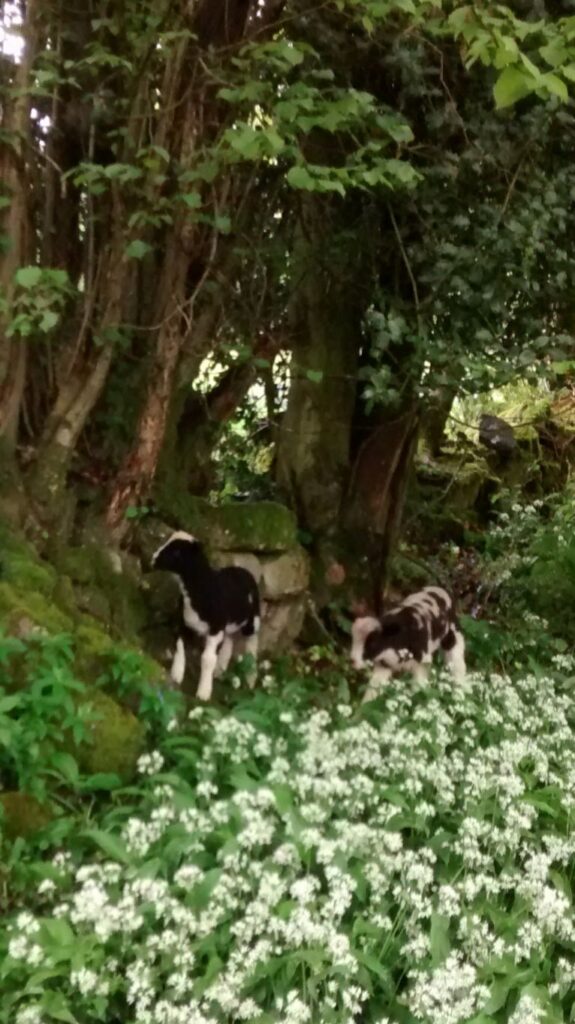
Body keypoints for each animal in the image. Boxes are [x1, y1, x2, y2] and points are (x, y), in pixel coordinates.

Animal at [152, 532, 259, 700]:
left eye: (177, 552)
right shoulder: (184, 621)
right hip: (229, 623)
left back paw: (250, 678)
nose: (153, 558)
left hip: (252, 620)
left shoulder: (215, 629)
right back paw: (220, 670)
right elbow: (179, 645)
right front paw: (176, 674)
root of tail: (243, 570)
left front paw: (203, 692)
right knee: (229, 641)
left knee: (252, 644)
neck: (203, 588)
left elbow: (207, 659)